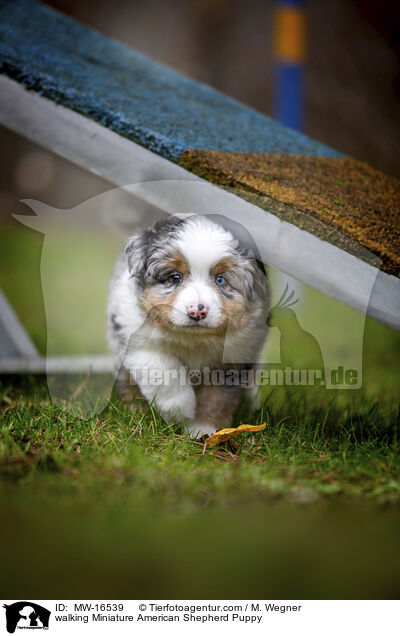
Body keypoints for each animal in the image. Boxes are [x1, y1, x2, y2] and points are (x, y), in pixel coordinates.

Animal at [108, 214, 268, 438]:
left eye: (220, 280)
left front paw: (204, 429)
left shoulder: (233, 358)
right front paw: (180, 409)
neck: (193, 338)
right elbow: (163, 370)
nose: (197, 311)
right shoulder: (139, 341)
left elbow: (216, 397)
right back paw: (134, 409)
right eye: (175, 278)